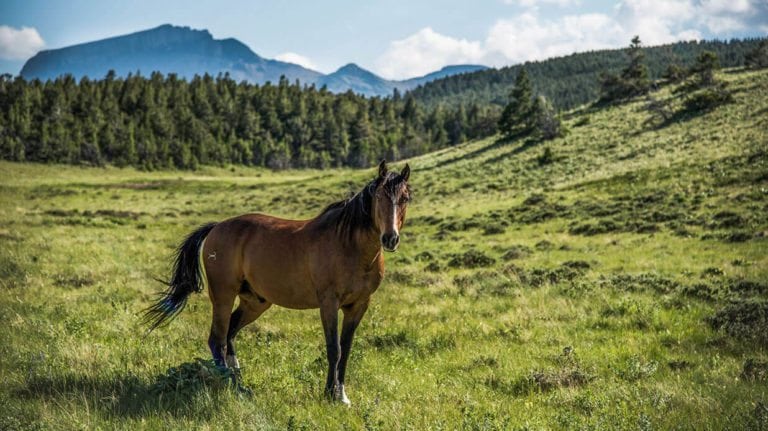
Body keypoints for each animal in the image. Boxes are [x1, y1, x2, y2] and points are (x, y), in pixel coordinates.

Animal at [142, 161, 408, 404]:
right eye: (380, 196)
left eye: (405, 198)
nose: (390, 238)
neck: (349, 246)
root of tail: (217, 227)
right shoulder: (329, 303)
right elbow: (334, 348)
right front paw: (328, 395)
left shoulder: (359, 305)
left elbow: (346, 349)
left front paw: (341, 396)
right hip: (223, 296)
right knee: (217, 339)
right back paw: (229, 385)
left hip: (255, 302)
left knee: (229, 334)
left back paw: (240, 384)